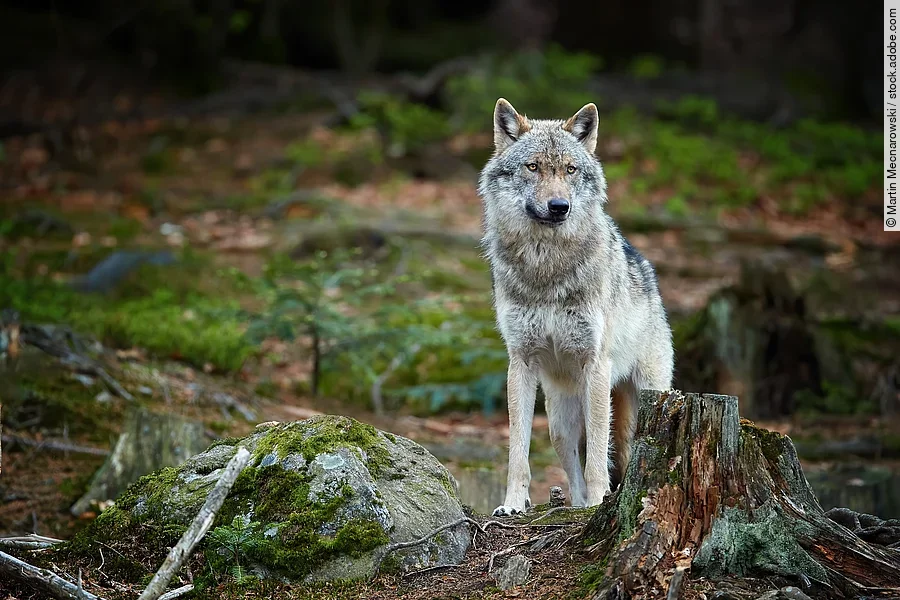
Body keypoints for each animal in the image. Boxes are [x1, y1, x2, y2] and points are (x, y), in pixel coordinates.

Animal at [478, 98, 674, 516]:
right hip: (559, 421)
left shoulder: (595, 364)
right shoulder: (520, 361)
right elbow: (518, 451)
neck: (546, 267)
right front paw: (513, 504)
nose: (559, 206)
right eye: (533, 167)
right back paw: (576, 505)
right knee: (571, 463)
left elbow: (598, 455)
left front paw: (600, 502)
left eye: (570, 169)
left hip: (645, 397)